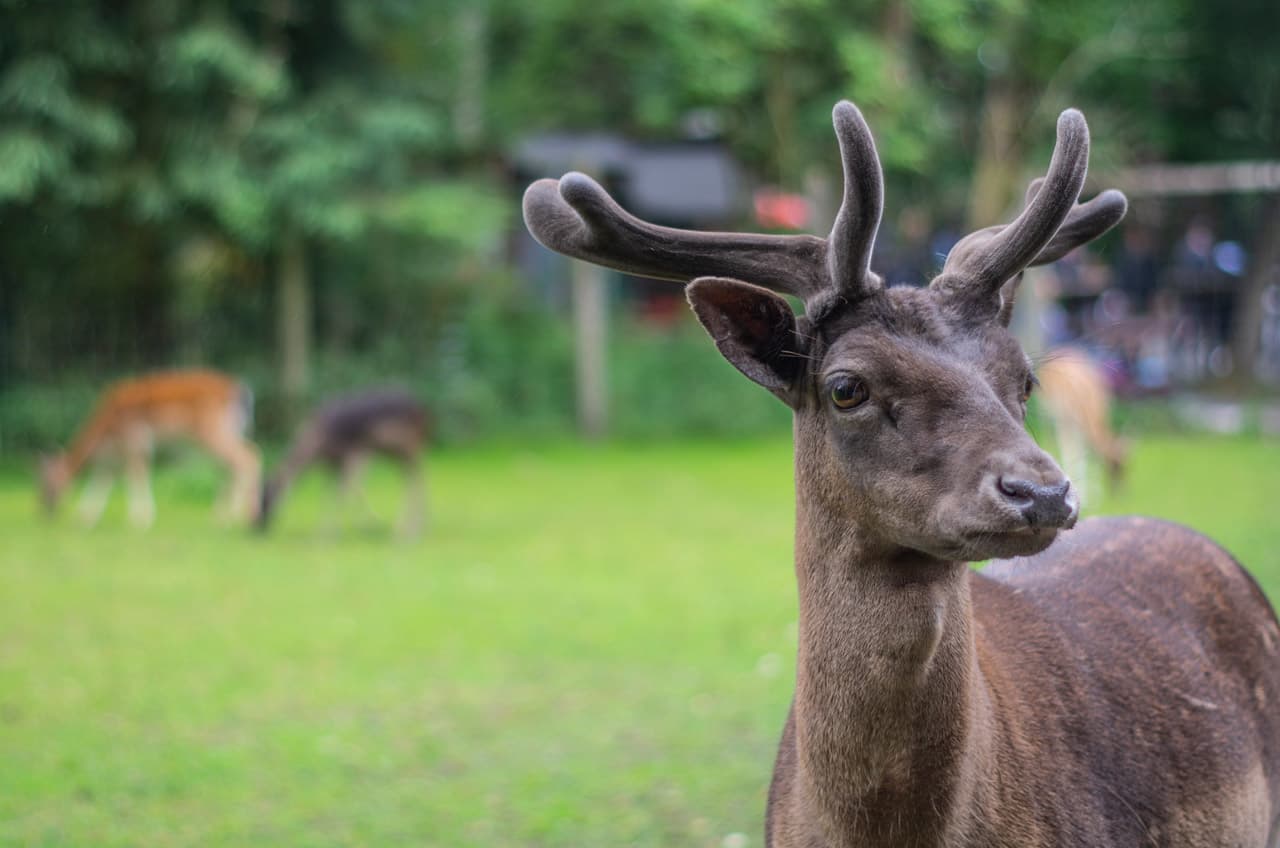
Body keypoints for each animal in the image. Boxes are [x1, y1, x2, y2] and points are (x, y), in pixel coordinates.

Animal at [39, 369, 261, 527]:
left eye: (48, 485)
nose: (45, 512)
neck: (106, 431)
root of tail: (241, 392)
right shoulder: (113, 456)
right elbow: (102, 480)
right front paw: (85, 518)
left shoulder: (135, 438)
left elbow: (136, 475)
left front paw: (140, 519)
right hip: (230, 431)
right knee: (232, 465)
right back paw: (226, 516)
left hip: (212, 431)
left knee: (246, 458)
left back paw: (237, 516)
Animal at [256, 388, 429, 537]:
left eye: (267, 497)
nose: (258, 526)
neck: (317, 446)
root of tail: (422, 412)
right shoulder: (334, 464)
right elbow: (332, 492)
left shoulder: (352, 453)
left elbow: (345, 491)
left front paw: (331, 533)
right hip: (398, 452)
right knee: (414, 477)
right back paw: (418, 525)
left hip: (406, 446)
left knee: (416, 478)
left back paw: (408, 530)